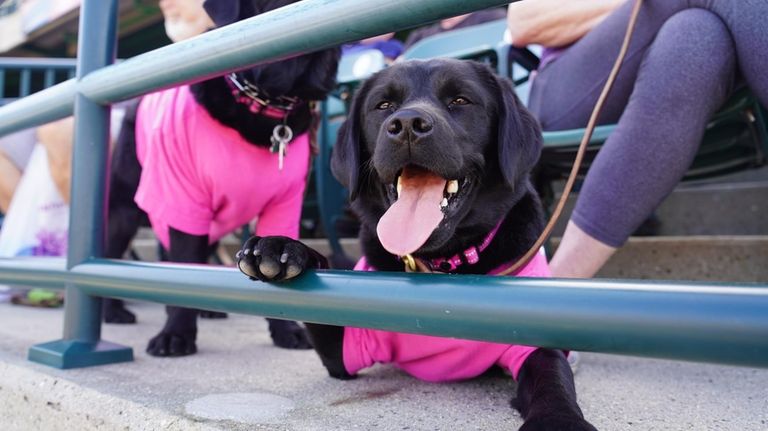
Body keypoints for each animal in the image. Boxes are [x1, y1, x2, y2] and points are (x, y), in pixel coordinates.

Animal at [102, 0, 340, 358]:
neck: (266, 104)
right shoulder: (185, 201)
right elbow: (185, 271)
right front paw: (176, 334)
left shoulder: (284, 204)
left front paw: (286, 329)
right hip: (125, 212)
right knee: (116, 255)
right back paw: (113, 311)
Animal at [237, 58, 596, 431]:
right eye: (384, 105)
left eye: (460, 100)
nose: (408, 124)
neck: (444, 264)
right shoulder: (342, 350)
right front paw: (281, 248)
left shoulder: (534, 343)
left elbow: (553, 377)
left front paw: (559, 419)